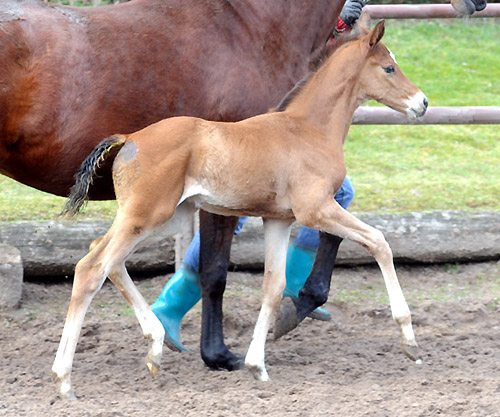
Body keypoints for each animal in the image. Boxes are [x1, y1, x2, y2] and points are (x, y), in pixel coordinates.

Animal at [55, 21, 430, 398]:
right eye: (389, 68)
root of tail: (130, 138)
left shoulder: (278, 220)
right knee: (91, 268)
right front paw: (410, 342)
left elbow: (274, 286)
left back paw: (156, 346)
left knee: (106, 259)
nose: (423, 102)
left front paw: (256, 366)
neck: (308, 129)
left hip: (165, 219)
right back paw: (64, 379)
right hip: (145, 216)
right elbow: (379, 241)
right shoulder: (316, 210)